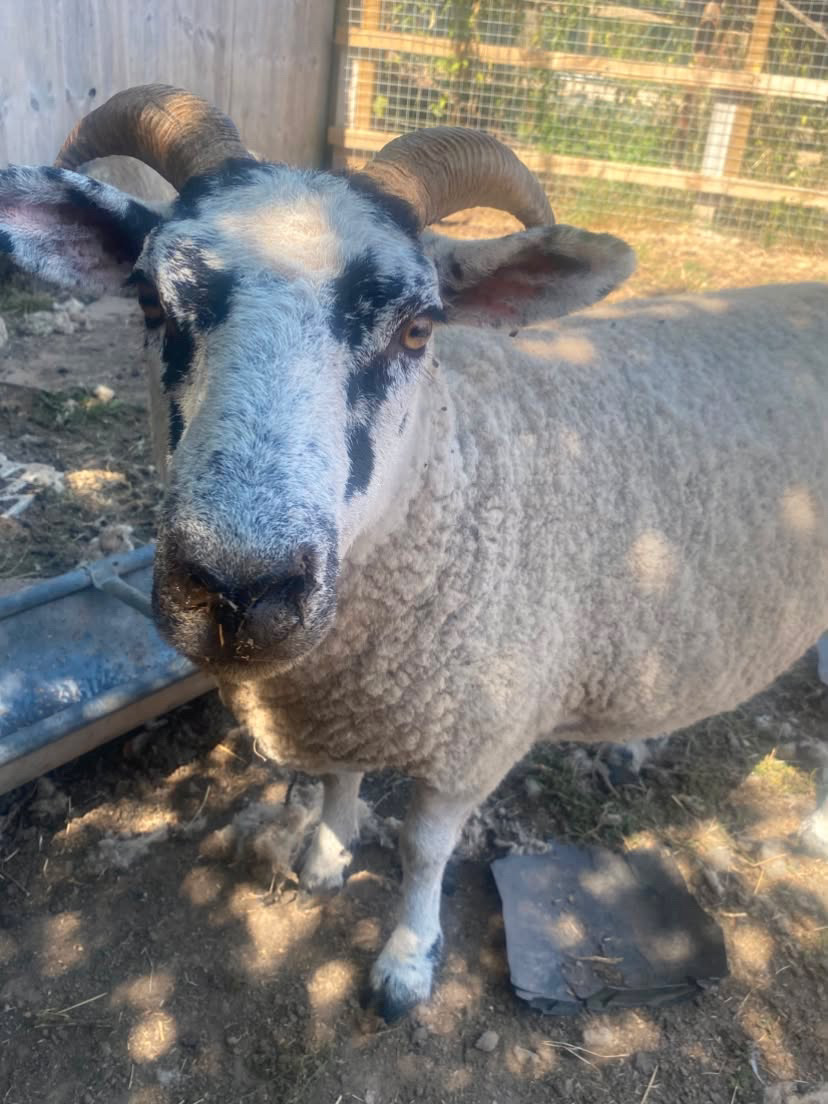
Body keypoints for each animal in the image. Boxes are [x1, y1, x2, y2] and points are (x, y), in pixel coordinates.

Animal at [1, 85, 826, 1022]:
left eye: (419, 328)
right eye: (147, 298)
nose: (238, 592)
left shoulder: (478, 738)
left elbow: (426, 850)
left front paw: (405, 963)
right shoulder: (348, 707)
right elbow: (338, 782)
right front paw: (326, 857)